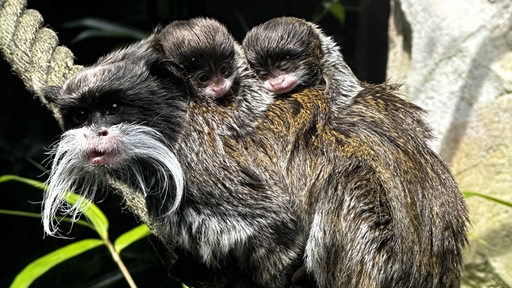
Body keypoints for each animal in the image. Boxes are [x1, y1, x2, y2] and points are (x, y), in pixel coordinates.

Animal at [43, 18, 468, 288]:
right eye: (81, 116)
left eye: (113, 108)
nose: (95, 133)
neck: (176, 117)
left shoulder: (200, 162)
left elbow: (278, 223)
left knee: (347, 183)